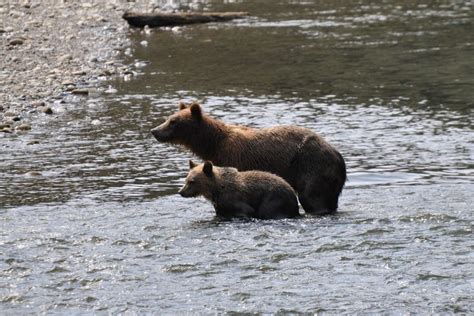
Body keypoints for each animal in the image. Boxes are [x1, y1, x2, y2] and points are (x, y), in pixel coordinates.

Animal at [153, 102, 348, 216]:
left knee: (313, 197)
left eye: (174, 122)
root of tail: (339, 156)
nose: (154, 131)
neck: (214, 145)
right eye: (169, 118)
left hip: (313, 167)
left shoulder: (233, 157)